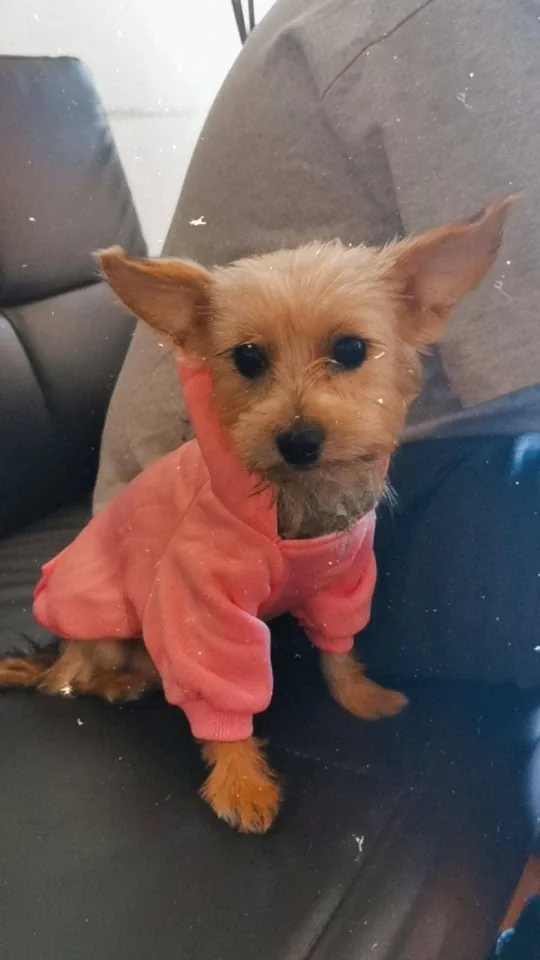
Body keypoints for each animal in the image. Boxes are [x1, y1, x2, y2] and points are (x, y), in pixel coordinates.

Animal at [0, 196, 513, 833]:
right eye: (246, 358)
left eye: (350, 350)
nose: (297, 440)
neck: (292, 506)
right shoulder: (202, 609)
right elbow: (223, 695)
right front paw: (241, 783)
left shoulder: (342, 581)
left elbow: (338, 648)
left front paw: (359, 696)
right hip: (103, 626)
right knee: (72, 678)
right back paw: (117, 681)